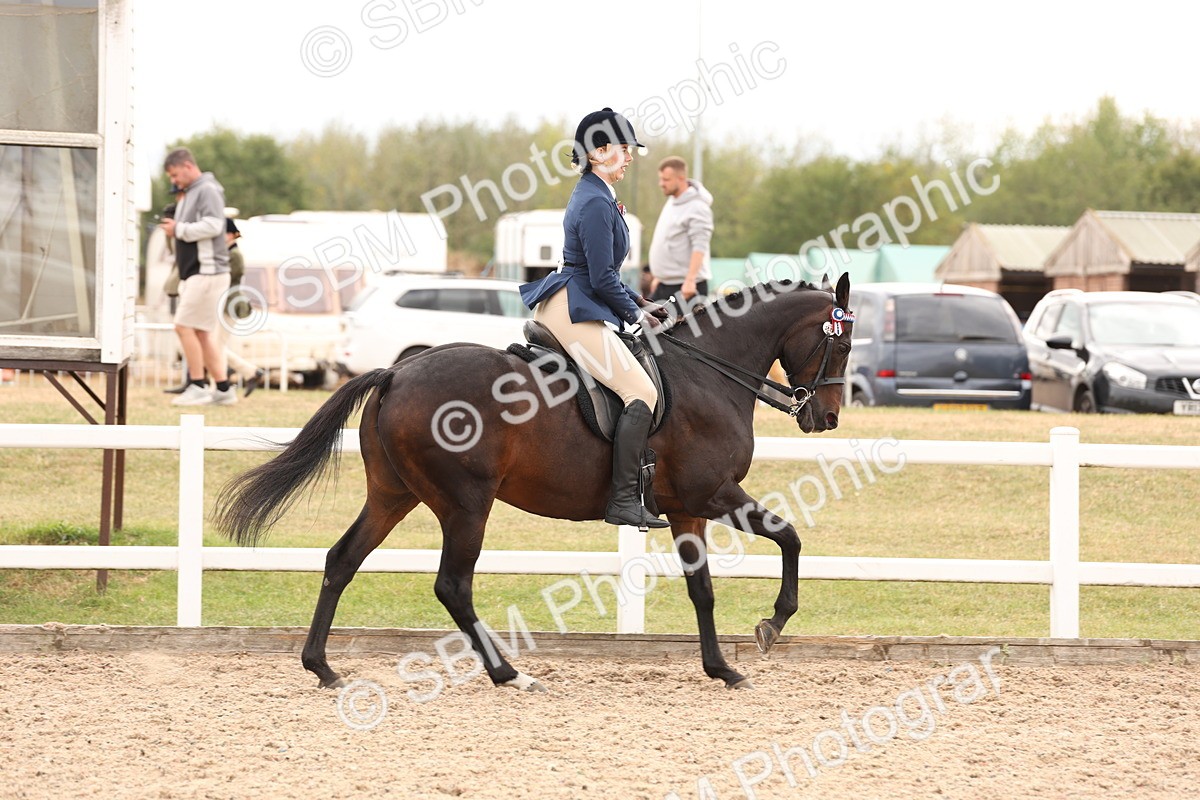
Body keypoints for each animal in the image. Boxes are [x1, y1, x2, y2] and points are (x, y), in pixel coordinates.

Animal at [214, 274, 853, 691]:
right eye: (841, 341)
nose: (826, 418)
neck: (710, 373)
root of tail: (397, 371)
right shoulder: (712, 494)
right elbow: (789, 536)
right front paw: (772, 624)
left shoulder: (687, 508)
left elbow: (705, 588)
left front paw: (723, 668)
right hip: (466, 504)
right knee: (452, 585)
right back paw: (508, 674)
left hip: (394, 496)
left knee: (342, 560)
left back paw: (322, 667)